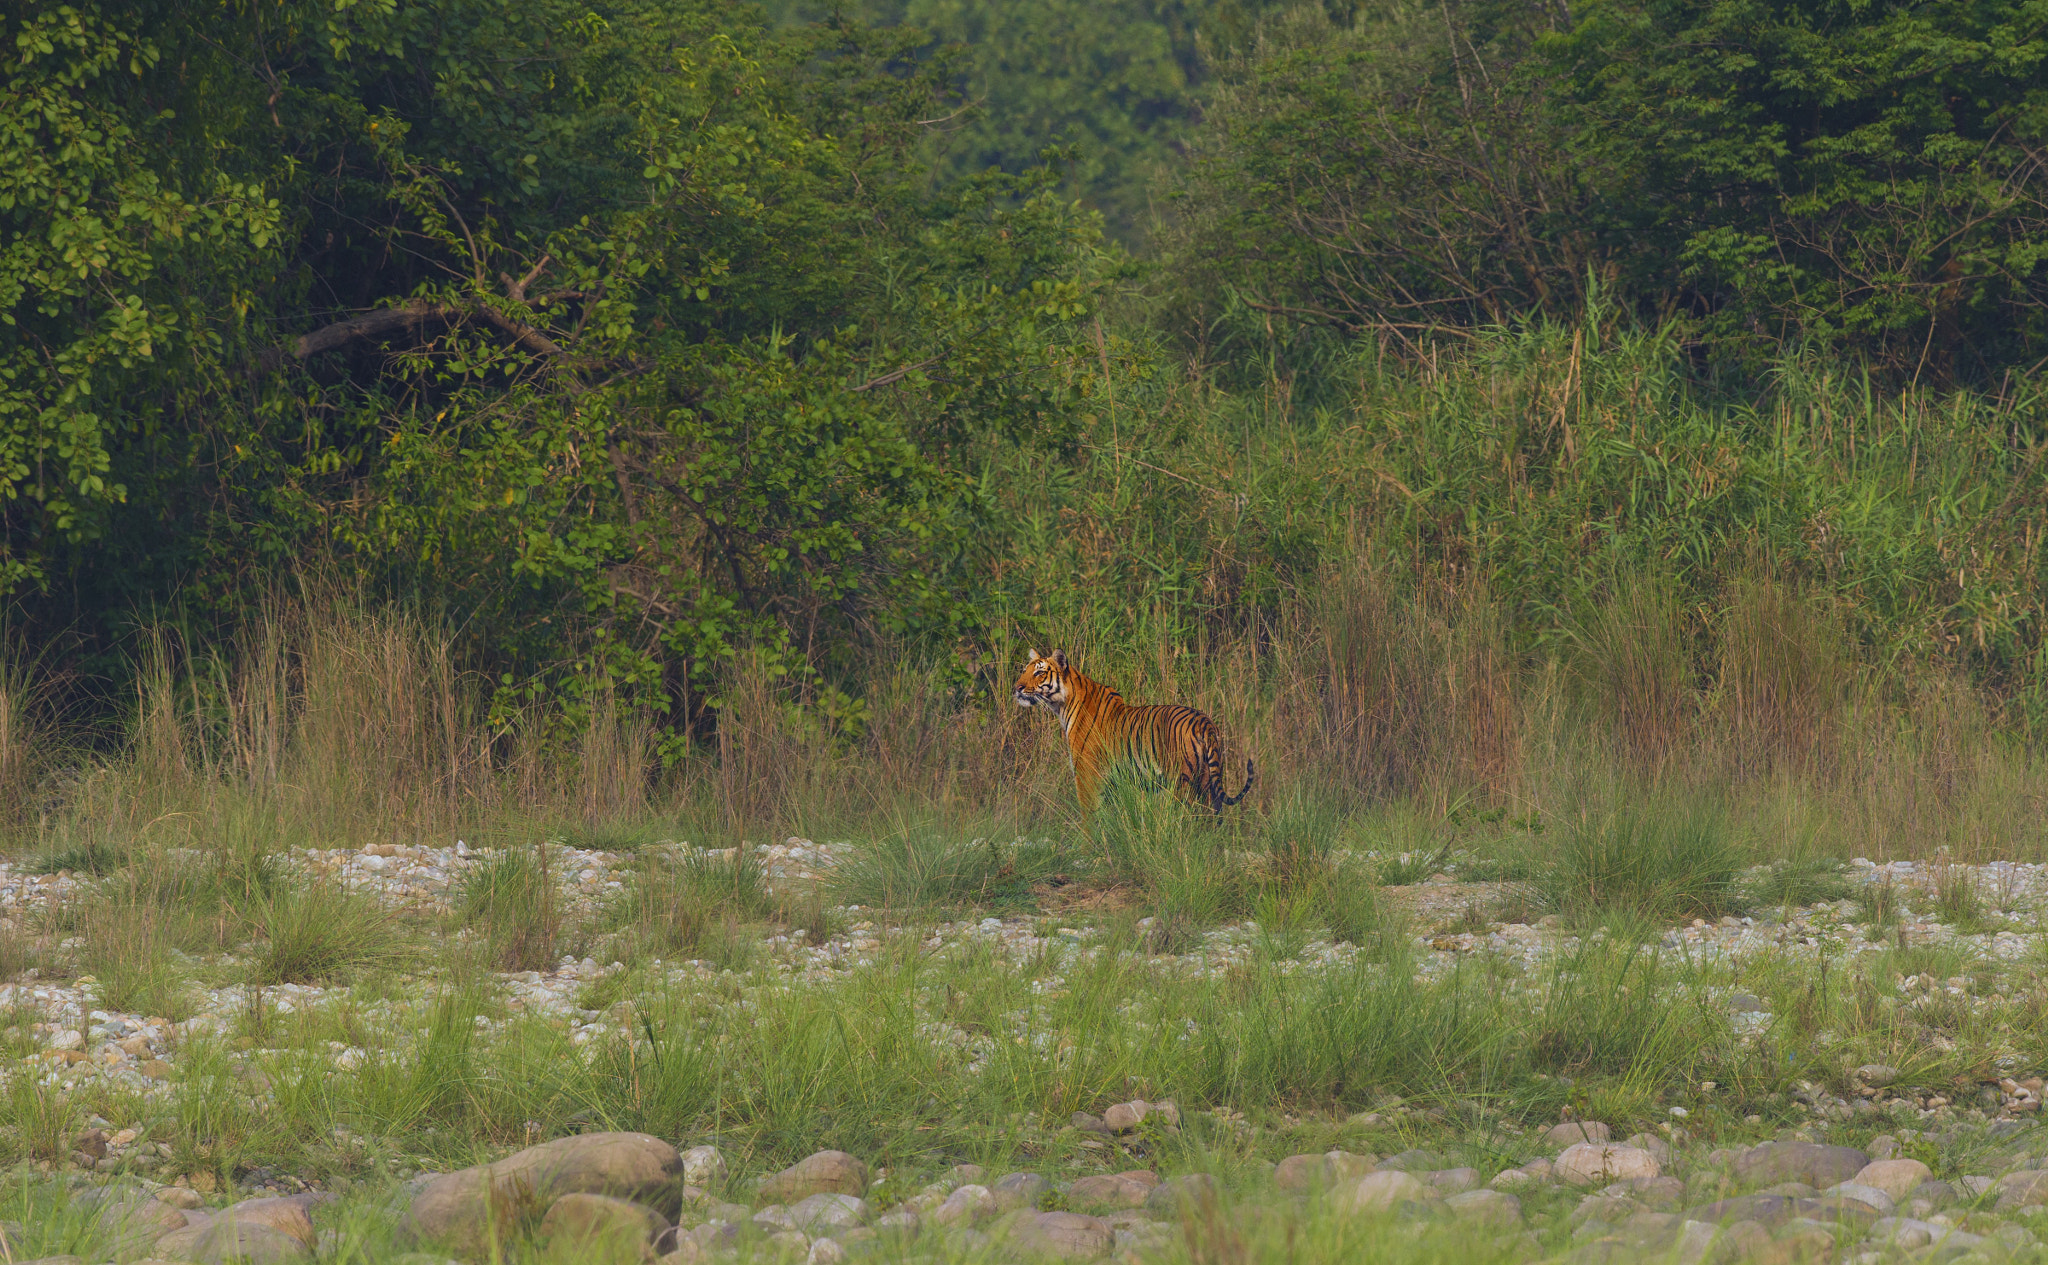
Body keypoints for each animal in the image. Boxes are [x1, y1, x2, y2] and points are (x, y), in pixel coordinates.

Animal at [1013, 648, 1254, 814]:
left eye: (1039, 673)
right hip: (1208, 782)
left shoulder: (1086, 775)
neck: (1062, 704)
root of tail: (1204, 722)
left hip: (1182, 781)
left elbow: (1088, 819)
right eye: (1025, 671)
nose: (1017, 688)